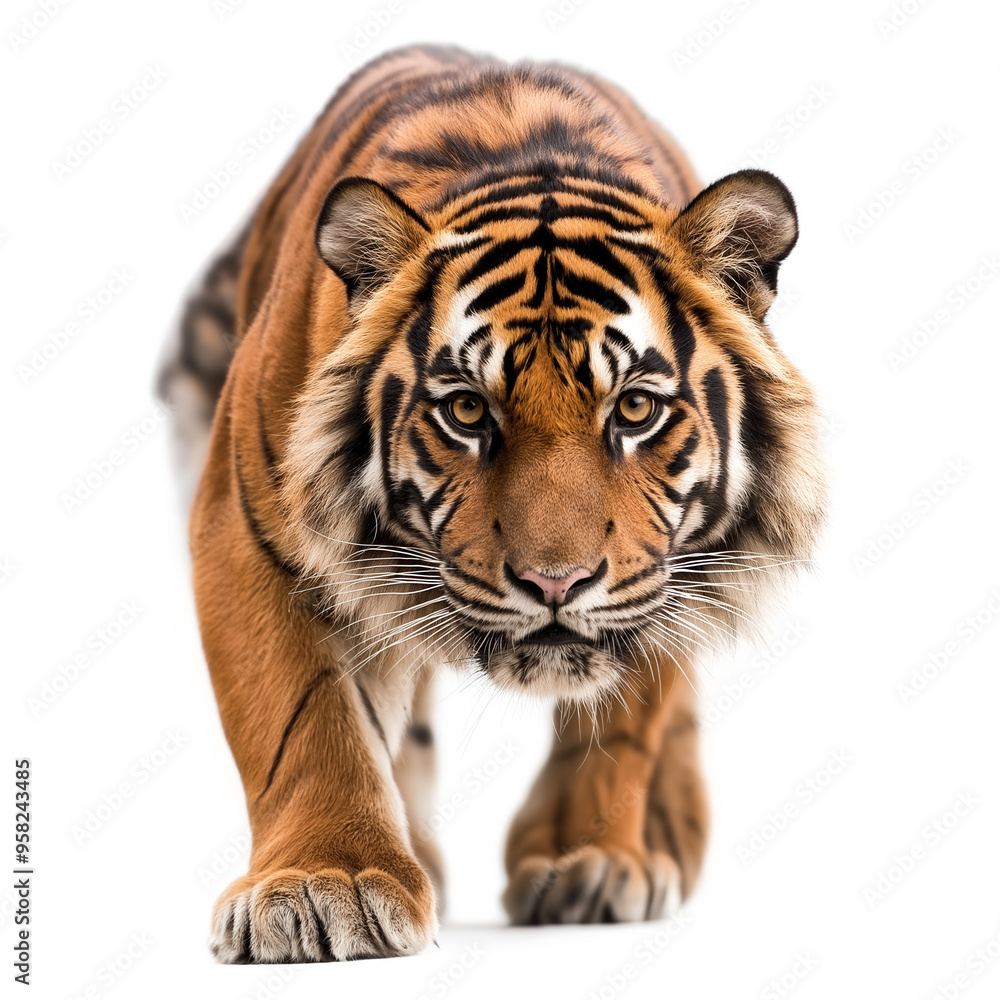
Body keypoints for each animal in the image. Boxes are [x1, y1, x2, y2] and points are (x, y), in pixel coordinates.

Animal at [157, 44, 826, 963]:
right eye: (468, 411)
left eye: (634, 409)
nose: (555, 583)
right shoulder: (246, 525)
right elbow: (304, 718)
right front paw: (326, 884)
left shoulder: (667, 570)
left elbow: (625, 720)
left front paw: (589, 861)